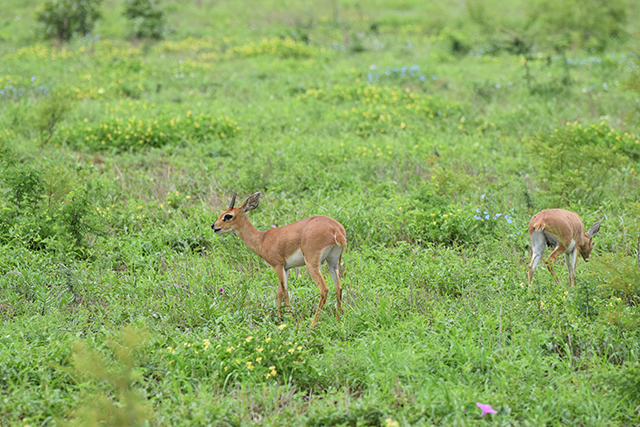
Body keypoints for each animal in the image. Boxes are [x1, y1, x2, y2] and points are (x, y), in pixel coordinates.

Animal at [212, 192, 348, 330]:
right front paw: (278, 320)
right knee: (339, 288)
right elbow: (279, 292)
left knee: (324, 289)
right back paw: (338, 321)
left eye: (228, 215)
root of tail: (337, 230)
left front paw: (290, 319)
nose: (214, 226)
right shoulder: (285, 268)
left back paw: (311, 325)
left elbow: (285, 290)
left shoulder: (277, 265)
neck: (262, 239)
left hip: (312, 264)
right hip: (333, 262)